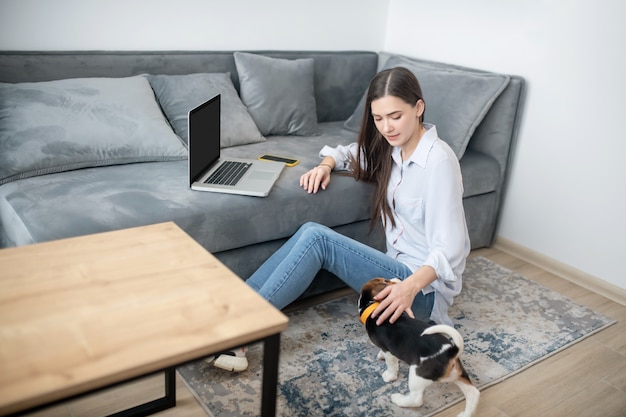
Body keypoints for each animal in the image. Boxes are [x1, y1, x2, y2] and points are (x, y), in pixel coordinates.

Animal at [356, 276, 478, 416]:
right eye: (386, 281)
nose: (399, 278)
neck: (372, 308)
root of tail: (452, 350)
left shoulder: (389, 352)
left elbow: (391, 365)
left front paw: (389, 376)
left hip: (417, 375)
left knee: (416, 400)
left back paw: (398, 399)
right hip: (457, 373)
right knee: (473, 393)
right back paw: (466, 414)